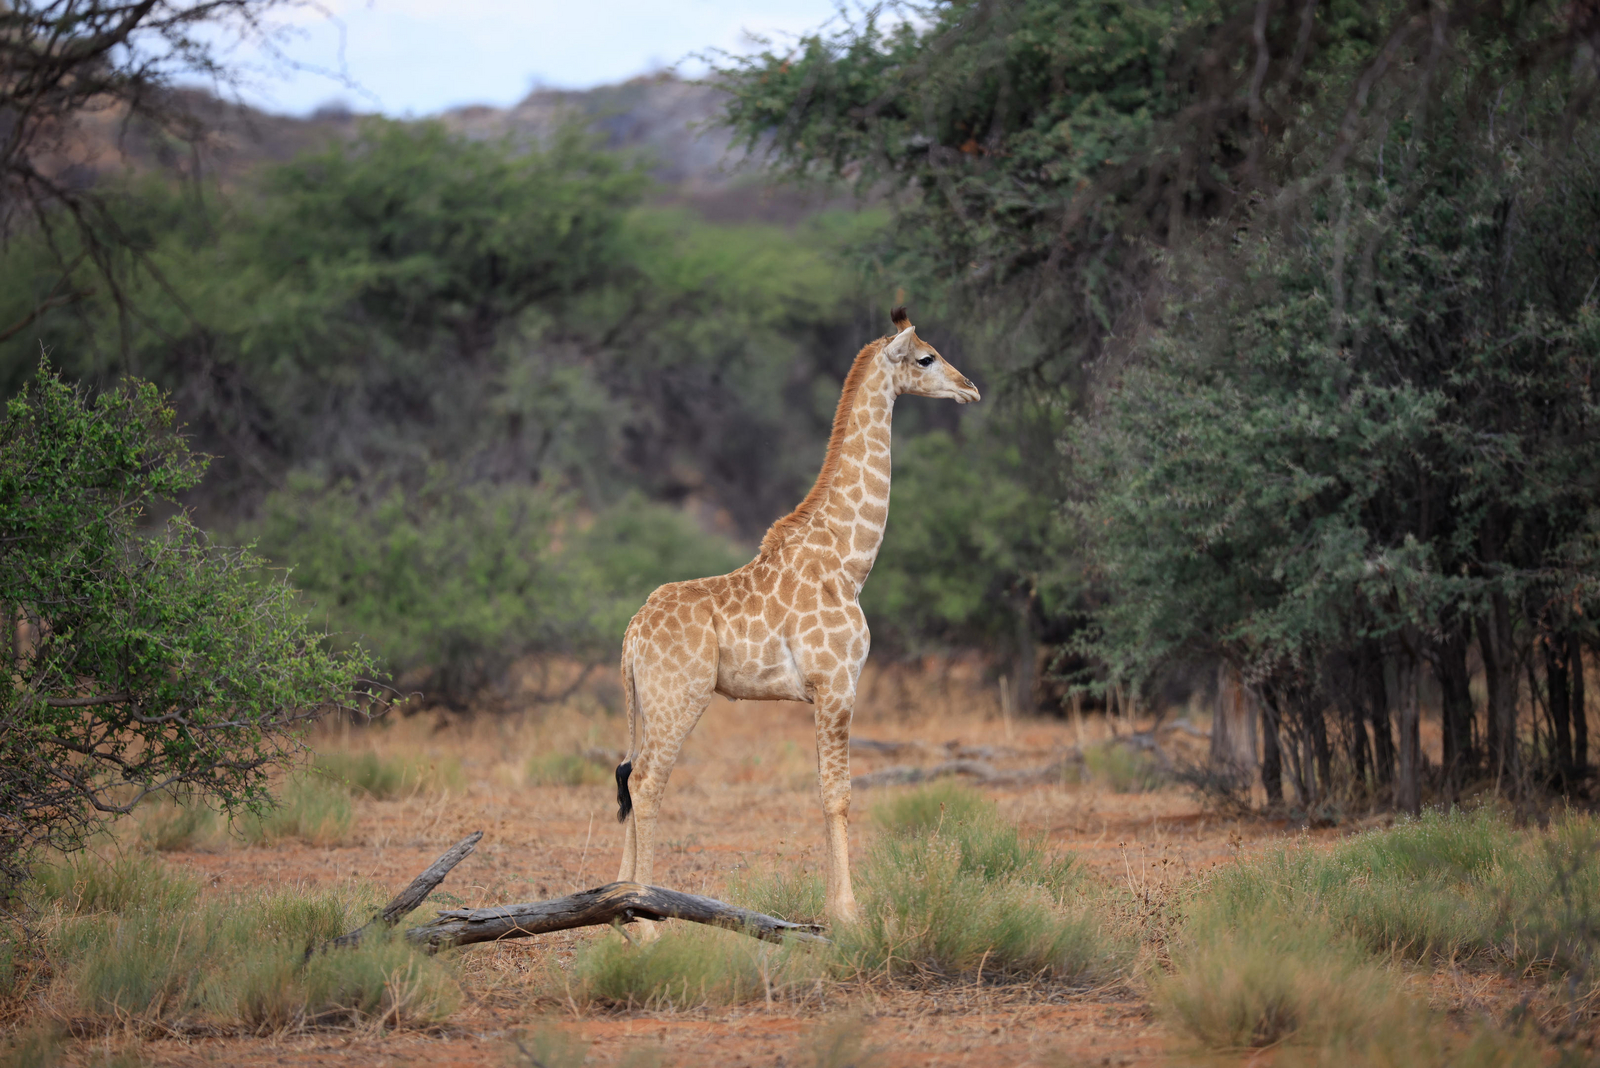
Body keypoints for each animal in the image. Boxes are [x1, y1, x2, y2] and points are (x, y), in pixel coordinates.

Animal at [612, 306, 980, 927]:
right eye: (926, 357)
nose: (970, 389)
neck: (849, 559)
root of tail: (632, 634)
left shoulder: (822, 694)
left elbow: (822, 791)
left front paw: (833, 909)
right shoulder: (837, 685)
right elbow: (839, 794)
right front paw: (850, 913)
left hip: (647, 701)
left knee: (628, 776)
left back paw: (615, 906)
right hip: (678, 698)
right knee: (646, 781)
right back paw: (643, 921)